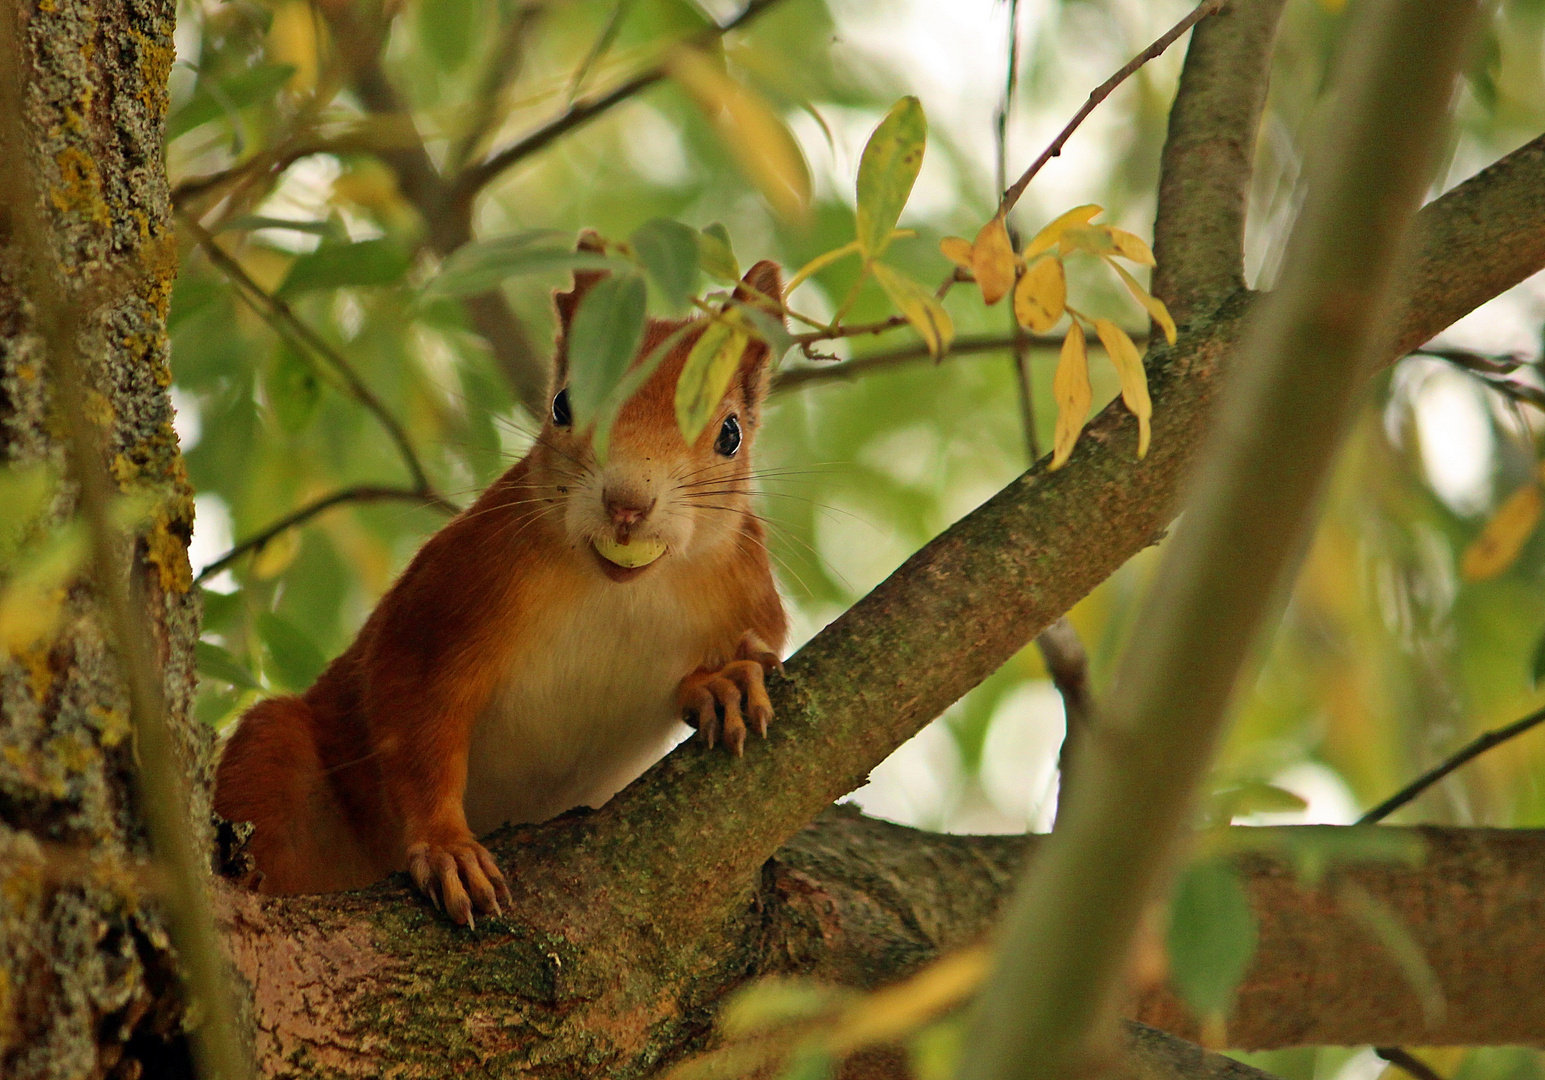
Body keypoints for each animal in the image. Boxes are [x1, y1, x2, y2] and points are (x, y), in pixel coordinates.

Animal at [214, 245, 784, 927]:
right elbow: (414, 719)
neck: (621, 591)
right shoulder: (452, 594)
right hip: (280, 762)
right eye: (562, 404)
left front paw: (721, 682)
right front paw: (447, 847)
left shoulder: (749, 594)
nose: (627, 504)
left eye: (730, 433)